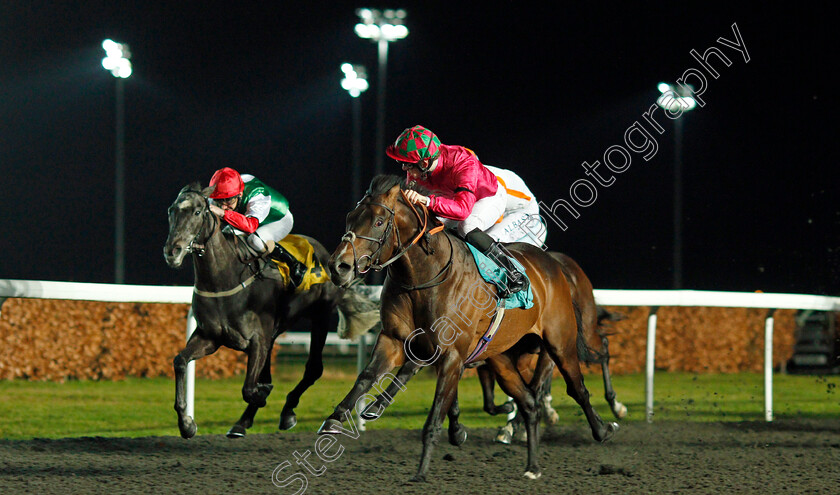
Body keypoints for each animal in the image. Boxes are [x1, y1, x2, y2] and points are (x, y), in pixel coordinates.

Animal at [163, 184, 378, 440]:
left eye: (197, 212)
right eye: (171, 211)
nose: (172, 252)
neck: (224, 279)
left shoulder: (257, 339)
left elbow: (249, 388)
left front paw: (262, 395)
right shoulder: (210, 337)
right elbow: (180, 361)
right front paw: (186, 423)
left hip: (320, 316)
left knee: (313, 369)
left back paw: (287, 411)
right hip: (275, 332)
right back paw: (242, 422)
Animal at [316, 176, 616, 482]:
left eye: (378, 221)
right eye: (350, 217)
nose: (338, 266)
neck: (424, 277)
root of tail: (554, 264)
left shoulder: (450, 354)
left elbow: (434, 415)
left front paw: (421, 471)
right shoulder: (395, 339)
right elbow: (367, 375)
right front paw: (336, 418)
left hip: (560, 341)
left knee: (579, 384)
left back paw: (604, 427)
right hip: (501, 357)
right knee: (530, 402)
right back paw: (532, 465)